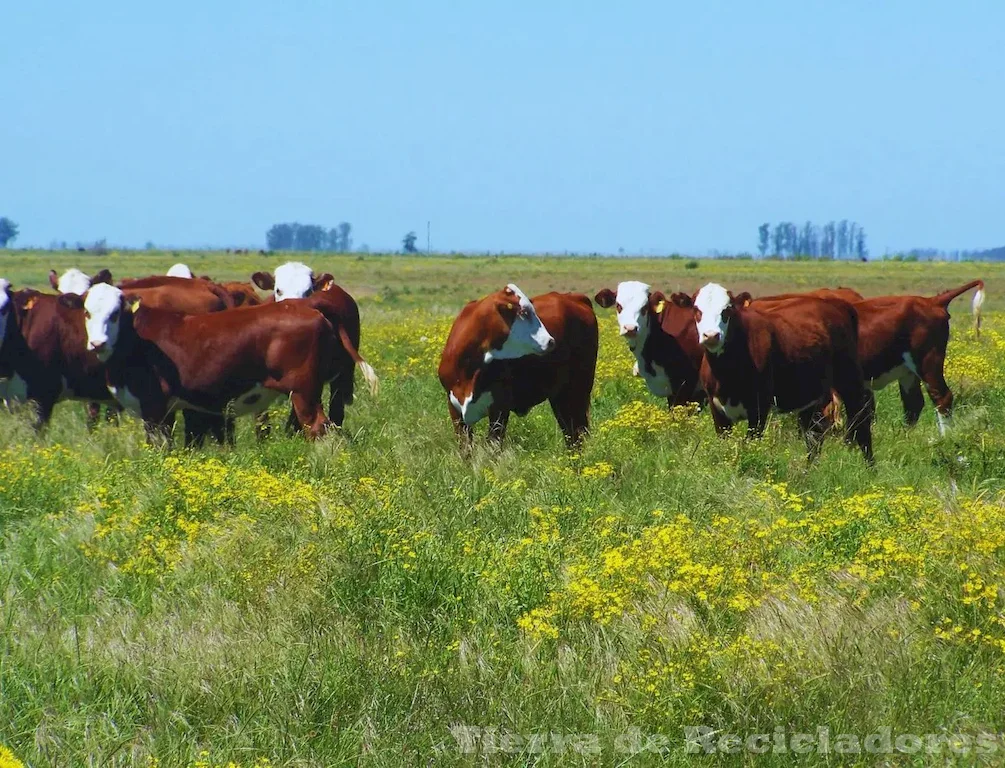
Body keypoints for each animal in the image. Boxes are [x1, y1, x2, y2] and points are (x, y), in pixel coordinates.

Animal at [79, 283, 337, 440]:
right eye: (87, 312)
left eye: (115, 313)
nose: (98, 343)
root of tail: (307, 307)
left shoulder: (154, 407)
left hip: (303, 391)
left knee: (318, 427)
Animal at [434, 285, 590, 446]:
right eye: (524, 312)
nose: (550, 341)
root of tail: (571, 297)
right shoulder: (454, 409)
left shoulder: (500, 407)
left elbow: (494, 444)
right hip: (560, 395)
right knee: (571, 433)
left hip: (578, 390)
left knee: (579, 432)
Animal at [691, 281, 872, 462]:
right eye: (696, 310)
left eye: (727, 310)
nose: (711, 335)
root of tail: (838, 304)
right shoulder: (717, 409)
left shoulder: (759, 407)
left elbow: (751, 444)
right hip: (811, 394)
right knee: (814, 437)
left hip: (850, 379)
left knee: (861, 424)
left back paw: (870, 466)